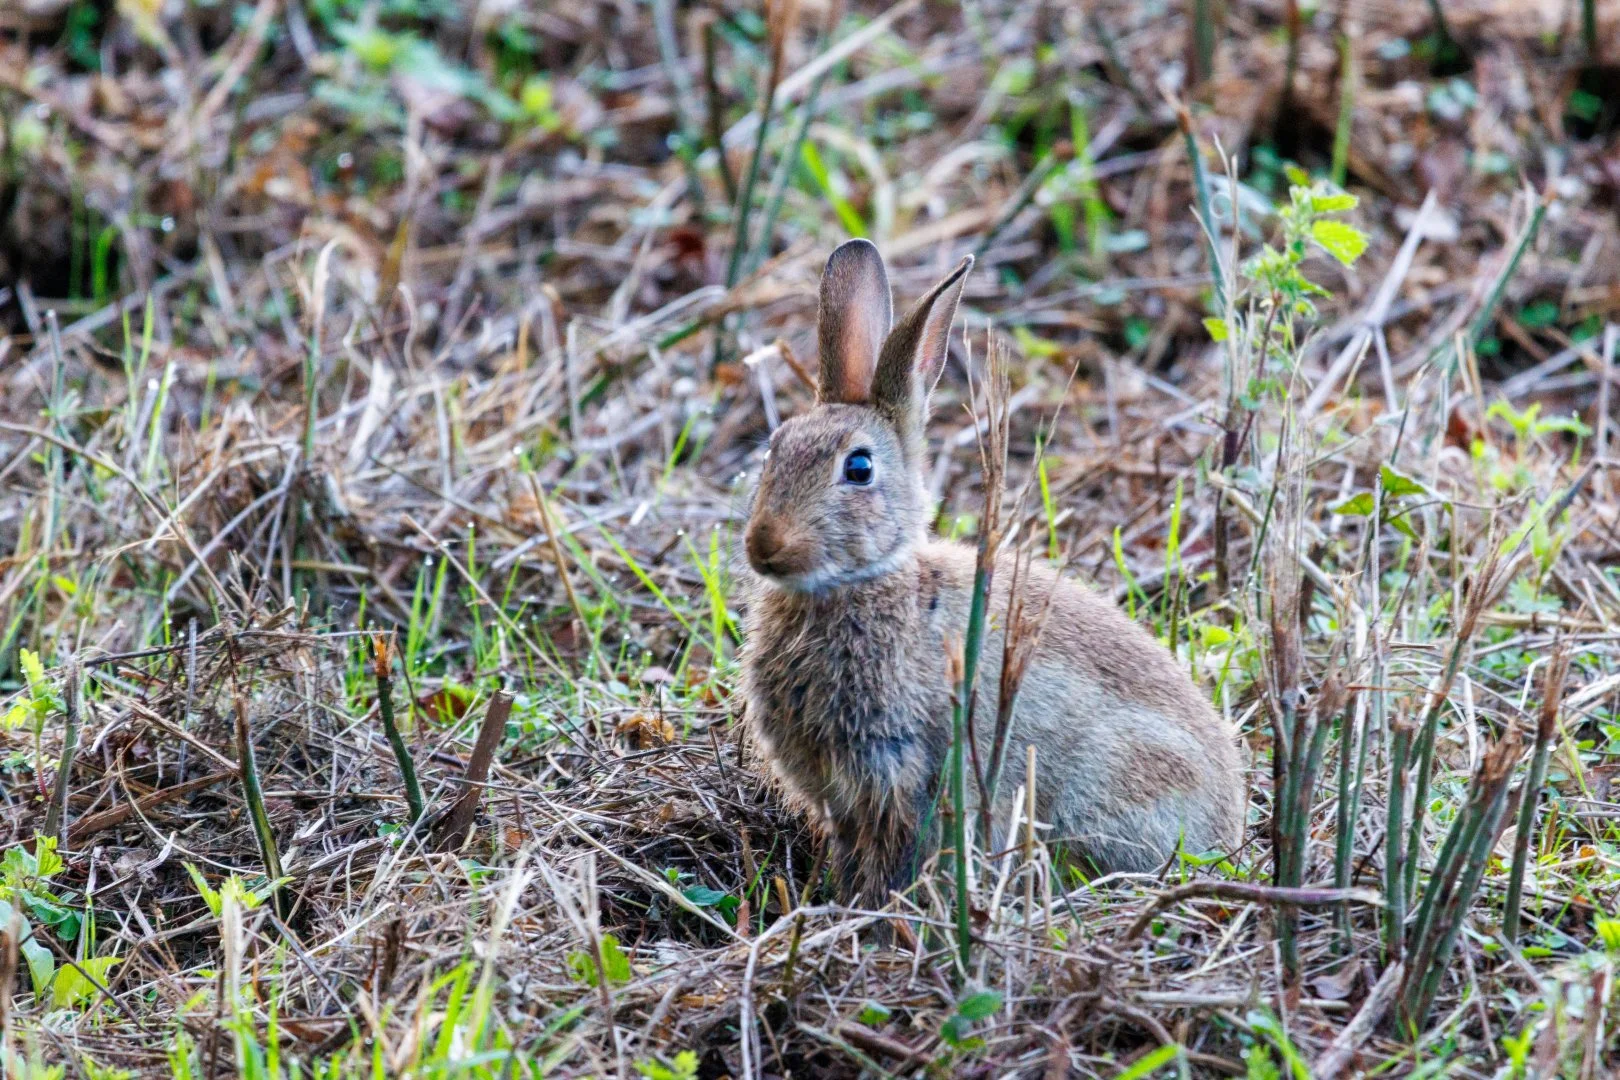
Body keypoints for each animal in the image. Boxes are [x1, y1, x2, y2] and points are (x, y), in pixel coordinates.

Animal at [739, 239, 1244, 901]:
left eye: (858, 469)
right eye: (774, 449)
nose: (764, 546)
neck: (866, 585)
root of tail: (1231, 827)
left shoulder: (901, 770)